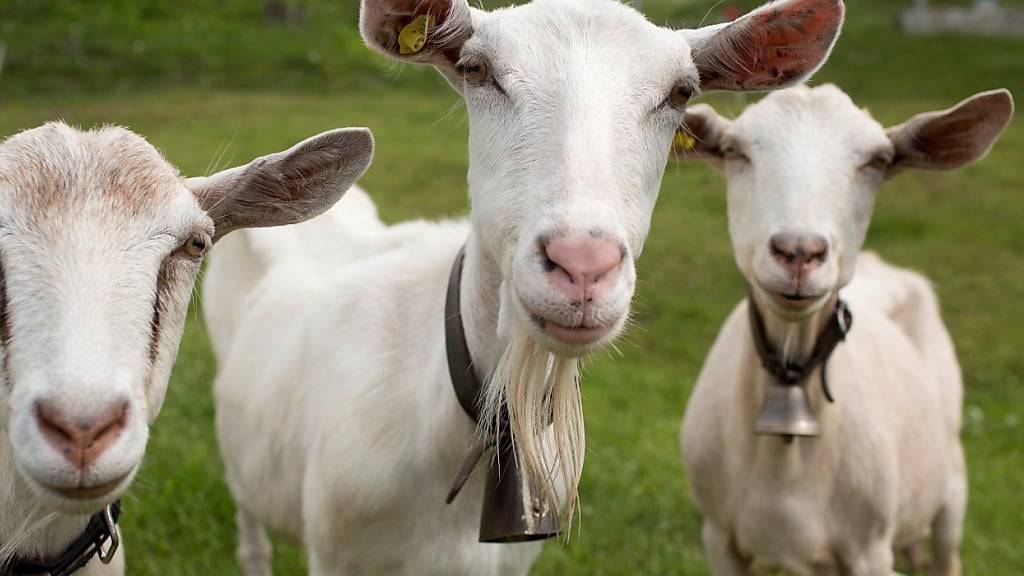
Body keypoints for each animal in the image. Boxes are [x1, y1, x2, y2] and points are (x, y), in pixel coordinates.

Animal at [675, 83, 1011, 569]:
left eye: (877, 161)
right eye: (734, 150)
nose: (799, 251)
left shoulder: (869, 548)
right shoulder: (718, 536)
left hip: (952, 490)